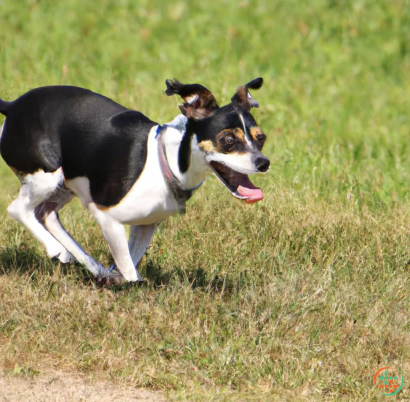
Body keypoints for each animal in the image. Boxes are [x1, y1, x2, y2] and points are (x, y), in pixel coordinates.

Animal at [0, 78, 270, 284]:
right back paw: (56, 249)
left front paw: (114, 277)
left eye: (261, 138)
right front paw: (128, 285)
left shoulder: (144, 226)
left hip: (65, 184)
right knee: (18, 209)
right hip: (46, 177)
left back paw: (92, 267)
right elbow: (129, 271)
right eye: (228, 140)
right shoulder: (107, 217)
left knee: (46, 215)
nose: (263, 162)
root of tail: (12, 106)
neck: (166, 163)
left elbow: (128, 262)